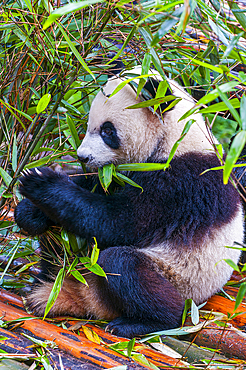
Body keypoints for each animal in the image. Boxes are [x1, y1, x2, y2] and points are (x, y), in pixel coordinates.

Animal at [14, 68, 243, 338]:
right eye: (90, 125)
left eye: (107, 131)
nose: (82, 156)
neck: (175, 137)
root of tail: (86, 297)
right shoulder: (116, 174)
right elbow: (94, 185)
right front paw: (29, 211)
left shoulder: (182, 183)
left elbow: (121, 222)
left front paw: (41, 183)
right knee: (59, 241)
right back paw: (43, 281)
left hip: (179, 277)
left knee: (125, 266)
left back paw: (143, 322)